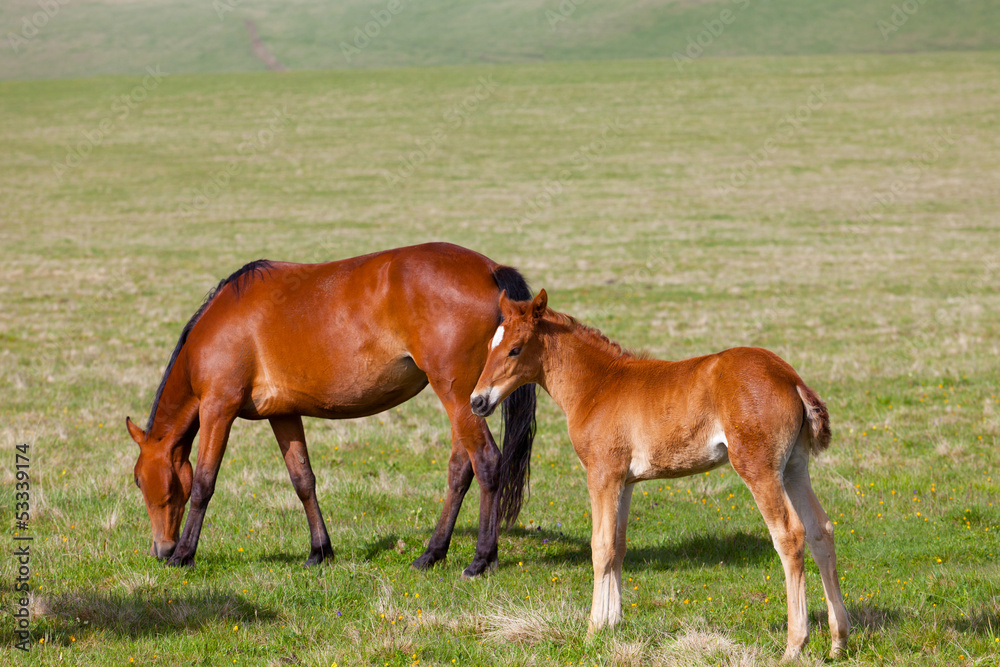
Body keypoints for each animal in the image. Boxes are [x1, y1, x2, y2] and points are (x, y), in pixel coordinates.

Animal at [125, 242, 536, 578]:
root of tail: (490, 269)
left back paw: (482, 558)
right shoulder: (283, 414)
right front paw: (319, 550)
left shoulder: (217, 408)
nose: (160, 550)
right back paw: (432, 554)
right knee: (460, 469)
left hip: (456, 394)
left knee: (487, 461)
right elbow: (302, 480)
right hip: (460, 400)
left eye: (141, 482)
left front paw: (185, 555)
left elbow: (203, 484)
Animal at [470, 289, 849, 660]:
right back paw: (838, 640)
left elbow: (601, 547)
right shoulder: (624, 482)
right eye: (488, 347)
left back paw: (794, 645)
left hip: (759, 468)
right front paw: (612, 626)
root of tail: (790, 377)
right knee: (821, 530)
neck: (598, 386)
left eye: (515, 348)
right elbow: (618, 546)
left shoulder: (602, 475)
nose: (477, 401)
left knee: (790, 535)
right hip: (794, 468)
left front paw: (592, 633)